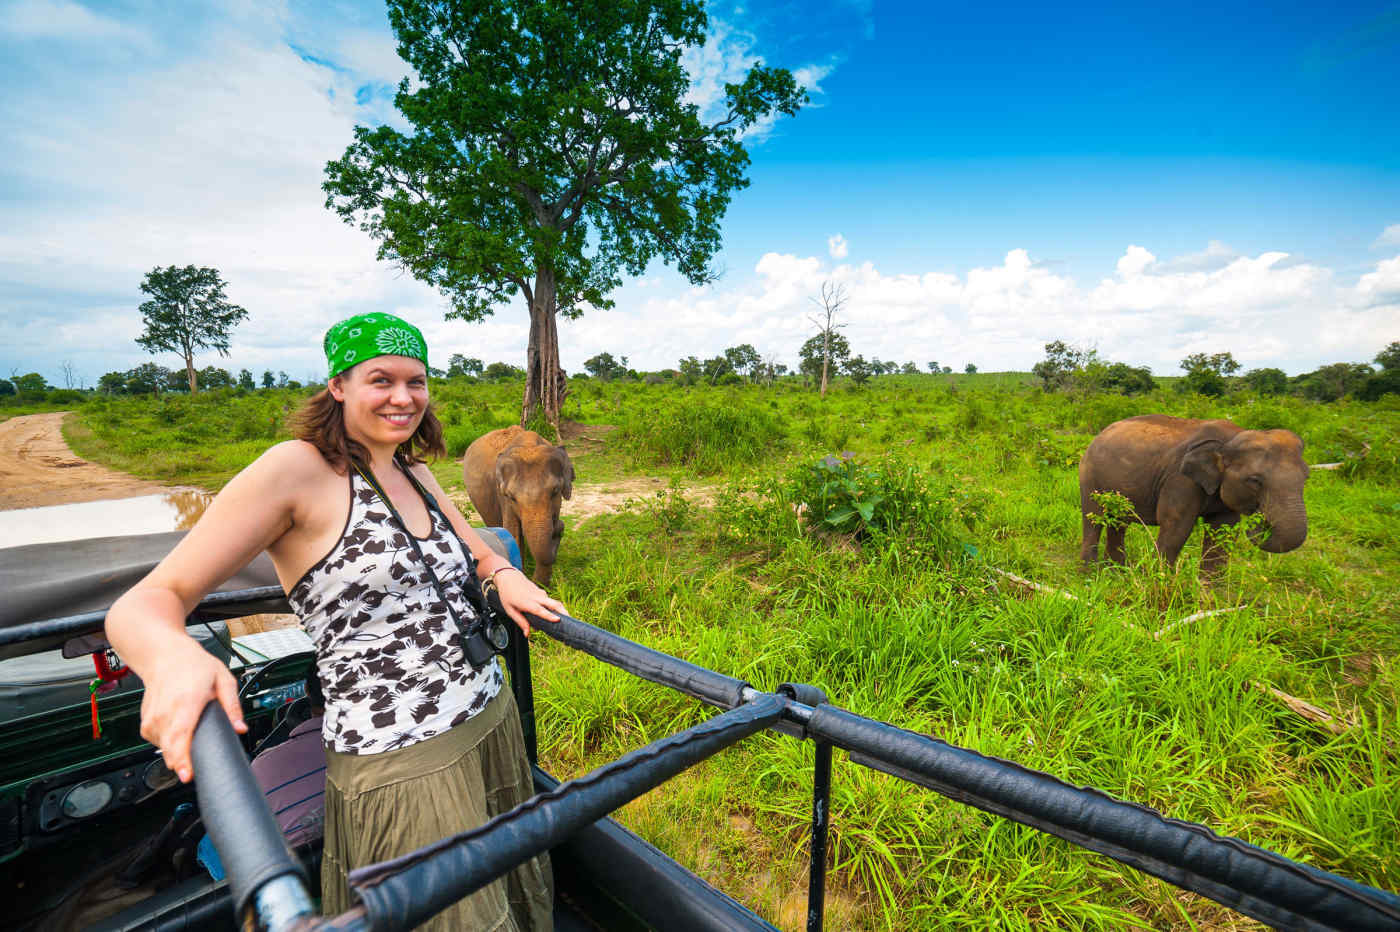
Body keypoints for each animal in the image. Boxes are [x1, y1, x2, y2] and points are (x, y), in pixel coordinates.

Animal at [464, 425, 574, 584]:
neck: (528, 445)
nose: (559, 526)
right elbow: (512, 532)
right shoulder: (503, 498)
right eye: (511, 497)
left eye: (555, 491)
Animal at [1075, 414, 1304, 573]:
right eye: (1255, 481)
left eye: (1306, 477)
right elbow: (1177, 527)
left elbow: (1223, 532)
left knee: (1118, 522)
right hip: (1090, 475)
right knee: (1094, 519)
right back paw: (1090, 573)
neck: (1230, 440)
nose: (1260, 522)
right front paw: (1160, 583)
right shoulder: (1180, 479)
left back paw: (1117, 572)